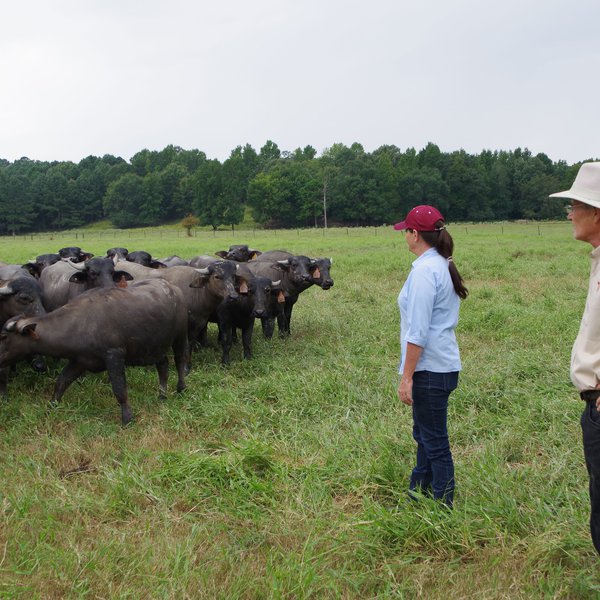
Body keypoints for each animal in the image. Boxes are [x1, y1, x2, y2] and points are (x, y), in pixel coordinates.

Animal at [0, 280, 189, 426]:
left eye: (4, 336)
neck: (80, 322)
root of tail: (174, 288)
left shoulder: (114, 355)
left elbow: (120, 389)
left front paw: (127, 418)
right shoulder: (80, 361)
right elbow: (61, 382)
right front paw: (51, 407)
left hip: (180, 337)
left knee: (180, 360)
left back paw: (181, 388)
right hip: (156, 345)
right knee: (163, 365)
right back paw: (162, 395)